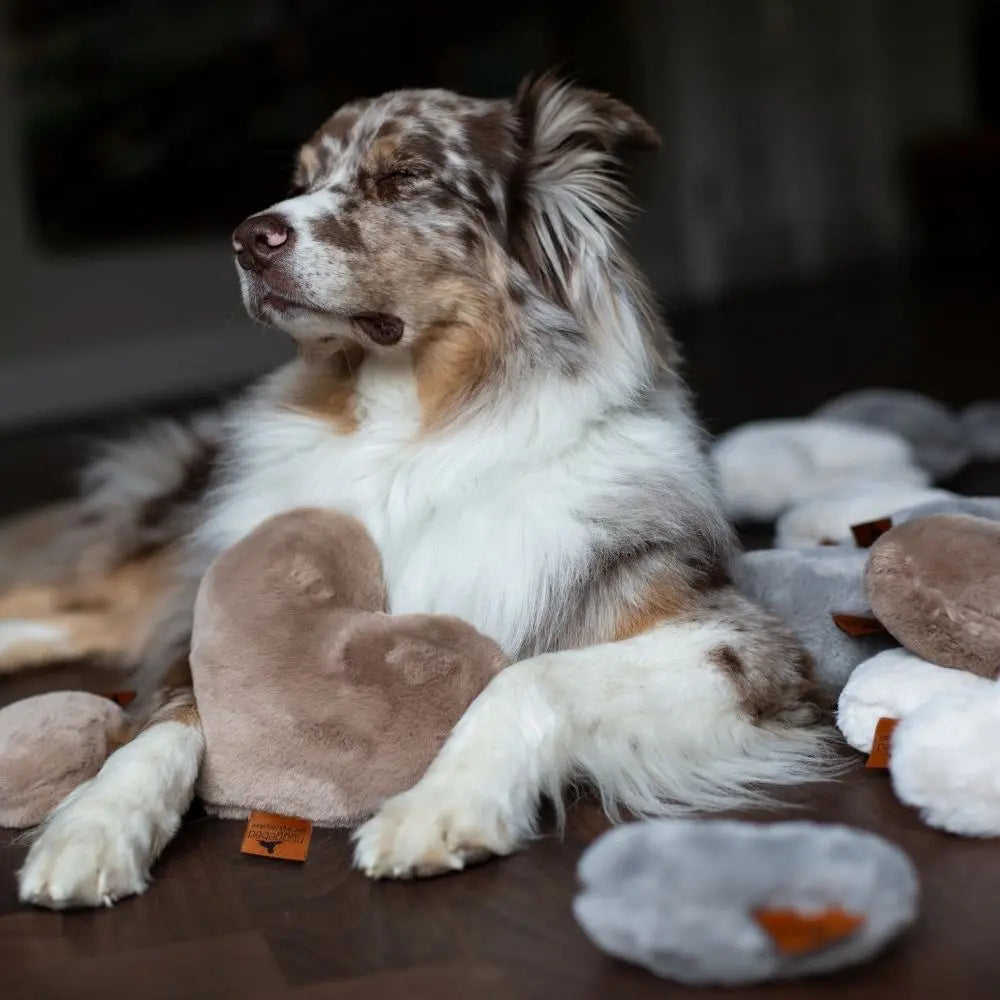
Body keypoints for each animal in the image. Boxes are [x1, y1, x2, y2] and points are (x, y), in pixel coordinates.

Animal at [1, 76, 828, 908]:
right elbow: (159, 731)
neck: (408, 439)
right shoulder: (203, 628)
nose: (247, 238)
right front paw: (93, 825)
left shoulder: (737, 641)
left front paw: (440, 804)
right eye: (301, 181)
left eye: (403, 177)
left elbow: (529, 676)